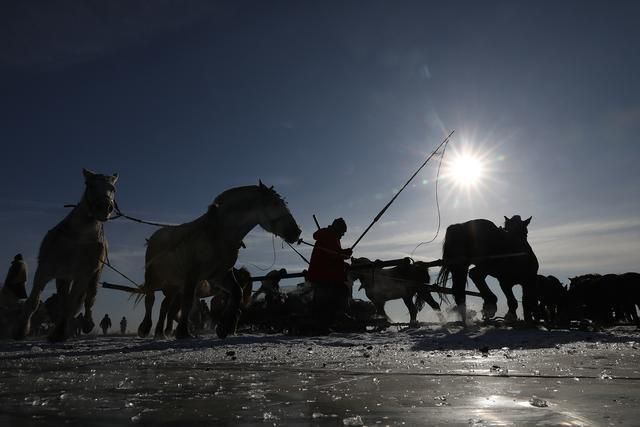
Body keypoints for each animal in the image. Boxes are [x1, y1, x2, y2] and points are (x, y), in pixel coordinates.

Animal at [14, 170, 118, 342]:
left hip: (93, 275)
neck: (78, 238)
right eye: (90, 185)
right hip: (64, 277)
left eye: (113, 189)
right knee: (64, 299)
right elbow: (33, 301)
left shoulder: (83, 275)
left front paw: (61, 332)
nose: (105, 208)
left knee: (88, 298)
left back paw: (84, 324)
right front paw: (21, 331)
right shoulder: (45, 270)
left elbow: (73, 303)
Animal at [137, 182, 300, 340]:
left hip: (173, 284)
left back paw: (160, 332)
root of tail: (153, 238)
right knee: (150, 299)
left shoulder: (220, 275)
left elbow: (237, 293)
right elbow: (188, 301)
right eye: (275, 203)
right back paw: (145, 328)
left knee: (164, 305)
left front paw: (224, 327)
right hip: (154, 277)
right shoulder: (192, 275)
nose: (297, 232)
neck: (219, 234)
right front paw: (183, 332)